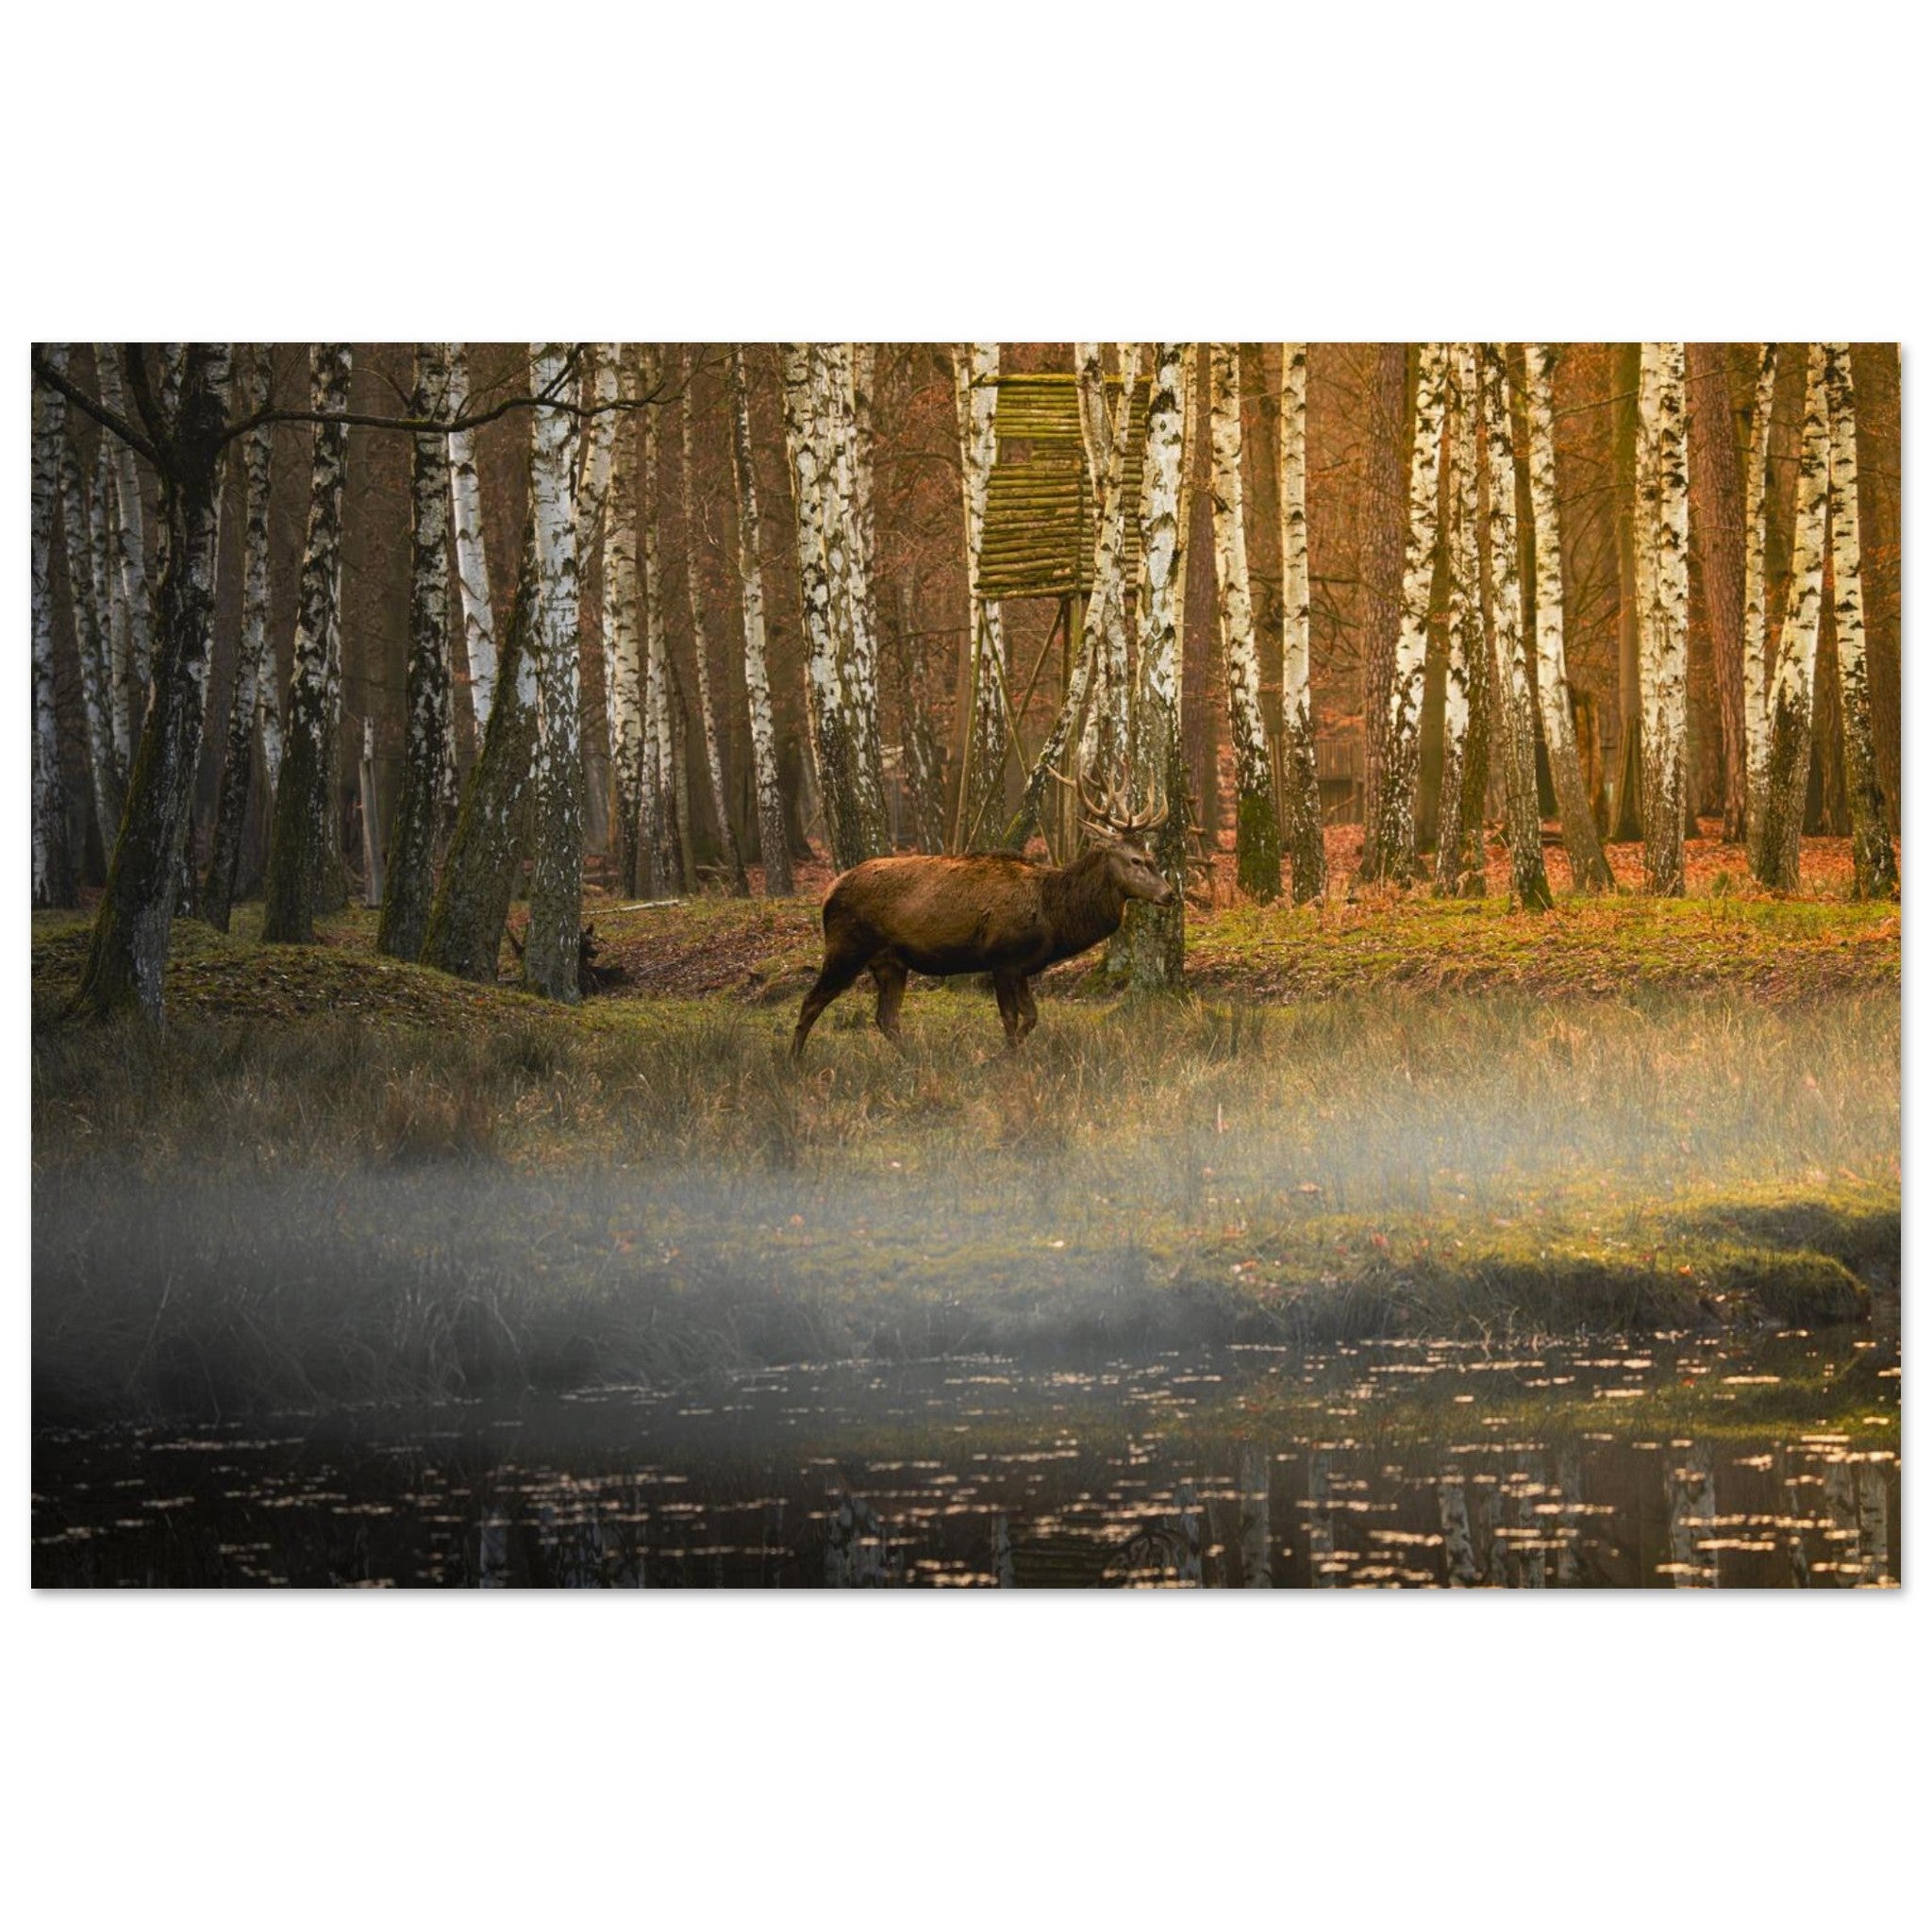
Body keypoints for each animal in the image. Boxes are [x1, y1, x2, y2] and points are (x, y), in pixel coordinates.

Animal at [791, 770, 1175, 1058]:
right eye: (1135, 860)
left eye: (1152, 855)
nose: (1170, 894)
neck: (1053, 916)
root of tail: (828, 892)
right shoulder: (1002, 958)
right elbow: (1010, 1019)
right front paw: (1003, 1060)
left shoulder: (1022, 967)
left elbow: (1031, 1017)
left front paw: (1006, 1055)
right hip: (846, 947)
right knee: (811, 1001)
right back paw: (793, 1062)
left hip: (890, 962)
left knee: (886, 1019)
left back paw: (915, 1059)